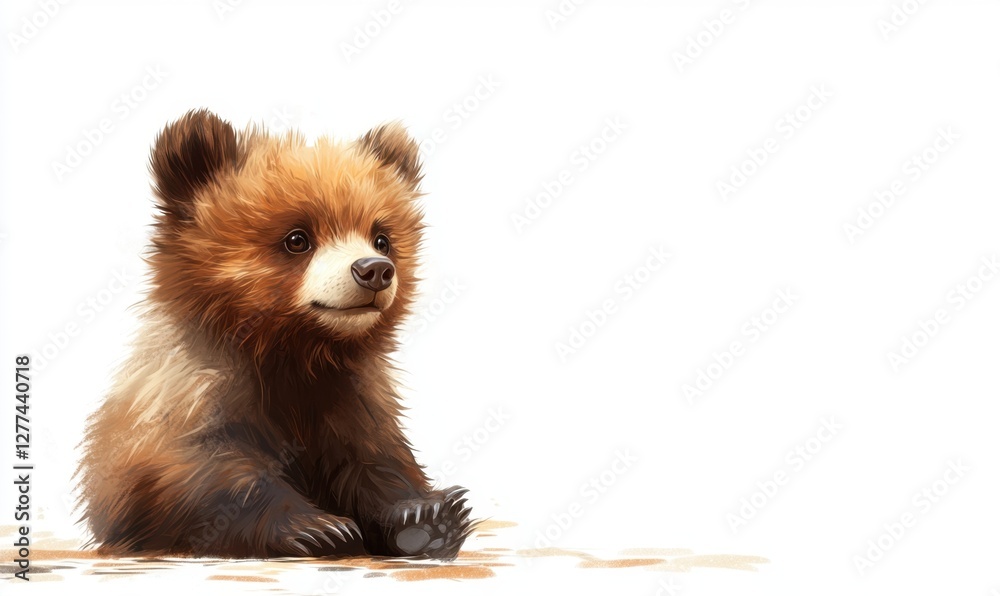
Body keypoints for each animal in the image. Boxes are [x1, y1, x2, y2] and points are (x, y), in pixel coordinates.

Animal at [77, 109, 473, 559]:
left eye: (382, 237)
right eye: (297, 238)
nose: (374, 270)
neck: (295, 351)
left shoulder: (352, 402)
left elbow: (376, 460)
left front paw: (427, 518)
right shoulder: (186, 401)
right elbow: (209, 469)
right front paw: (319, 527)